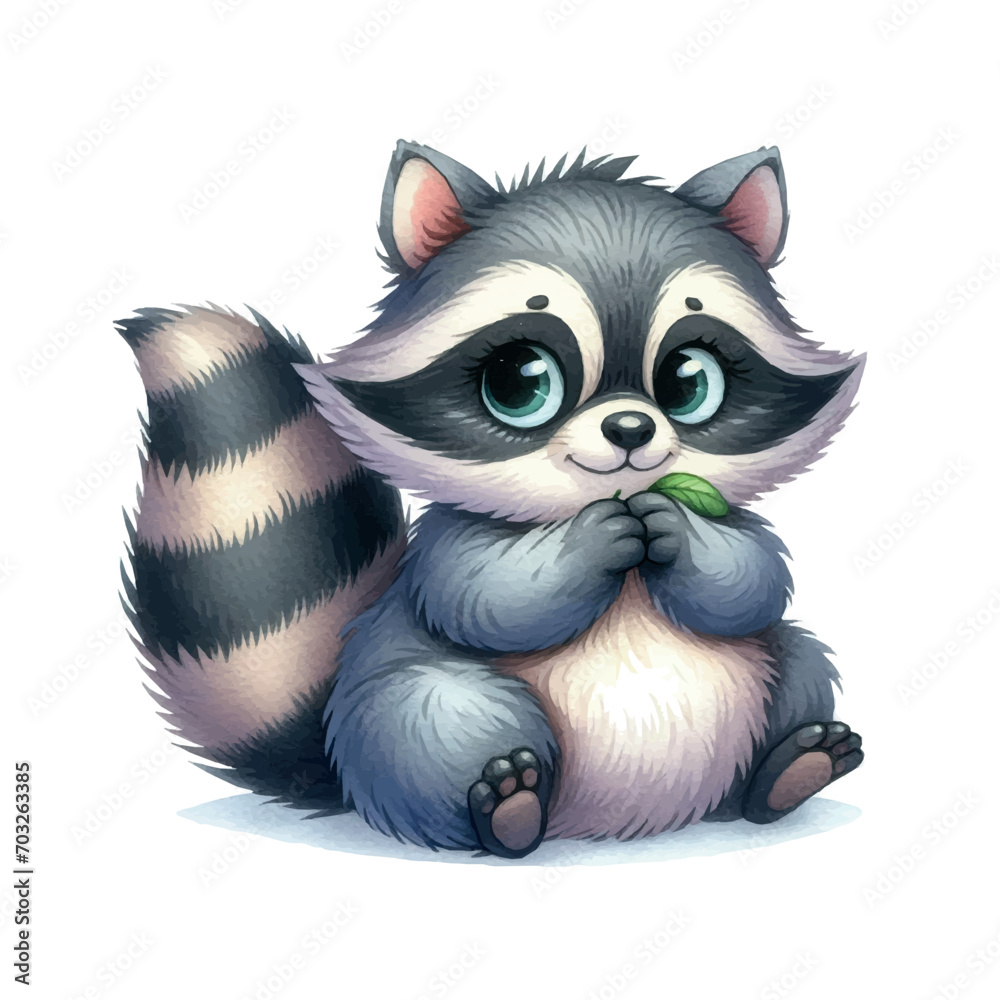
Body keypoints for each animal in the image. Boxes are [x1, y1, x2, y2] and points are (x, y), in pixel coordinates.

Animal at [119, 141, 865, 858]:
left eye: (689, 380)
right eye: (520, 380)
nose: (631, 429)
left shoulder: (728, 519)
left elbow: (753, 581)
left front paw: (682, 533)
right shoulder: (451, 542)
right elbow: (485, 598)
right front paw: (591, 540)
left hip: (769, 687)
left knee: (796, 656)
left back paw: (785, 773)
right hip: (406, 725)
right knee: (435, 707)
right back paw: (507, 812)